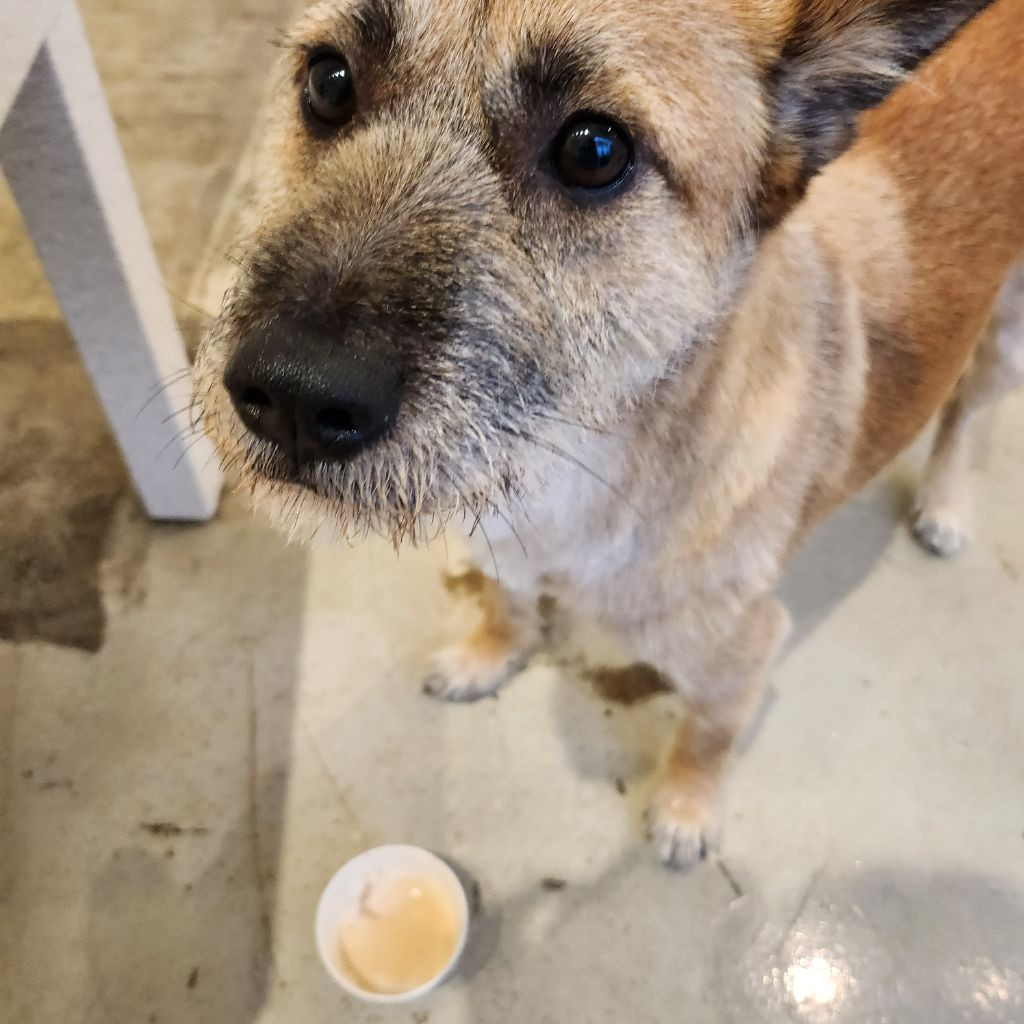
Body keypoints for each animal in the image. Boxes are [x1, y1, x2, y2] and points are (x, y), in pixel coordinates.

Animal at [194, 0, 1024, 870]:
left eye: (594, 151)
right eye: (329, 82)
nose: (290, 396)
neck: (571, 476)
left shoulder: (741, 653)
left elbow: (707, 735)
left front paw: (686, 808)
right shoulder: (504, 550)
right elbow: (506, 604)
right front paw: (487, 653)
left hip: (1005, 341)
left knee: (964, 414)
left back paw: (945, 504)